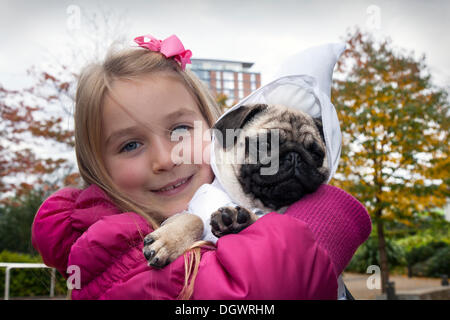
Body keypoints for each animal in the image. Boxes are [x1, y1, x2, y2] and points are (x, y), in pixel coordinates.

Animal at [142, 103, 328, 268]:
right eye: (264, 145)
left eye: (316, 154)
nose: (294, 156)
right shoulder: (178, 215)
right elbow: (194, 219)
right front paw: (167, 243)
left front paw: (239, 220)